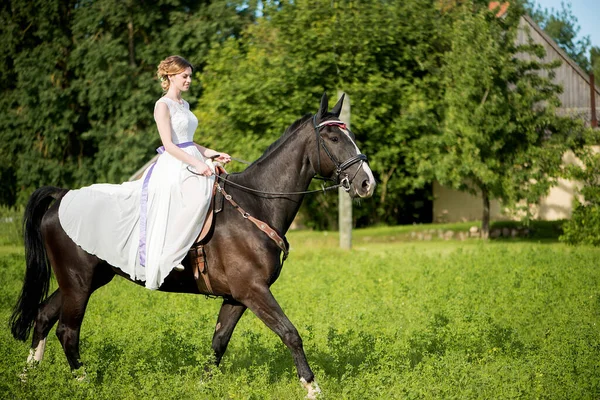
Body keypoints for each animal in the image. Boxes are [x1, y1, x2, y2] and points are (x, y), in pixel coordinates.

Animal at [9, 93, 376, 396]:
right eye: (333, 138)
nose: (367, 183)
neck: (256, 205)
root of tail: (62, 197)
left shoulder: (237, 297)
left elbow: (218, 342)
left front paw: (203, 386)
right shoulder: (254, 291)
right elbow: (290, 333)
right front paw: (312, 387)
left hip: (86, 280)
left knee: (43, 316)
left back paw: (28, 377)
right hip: (79, 282)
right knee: (67, 331)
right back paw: (82, 382)